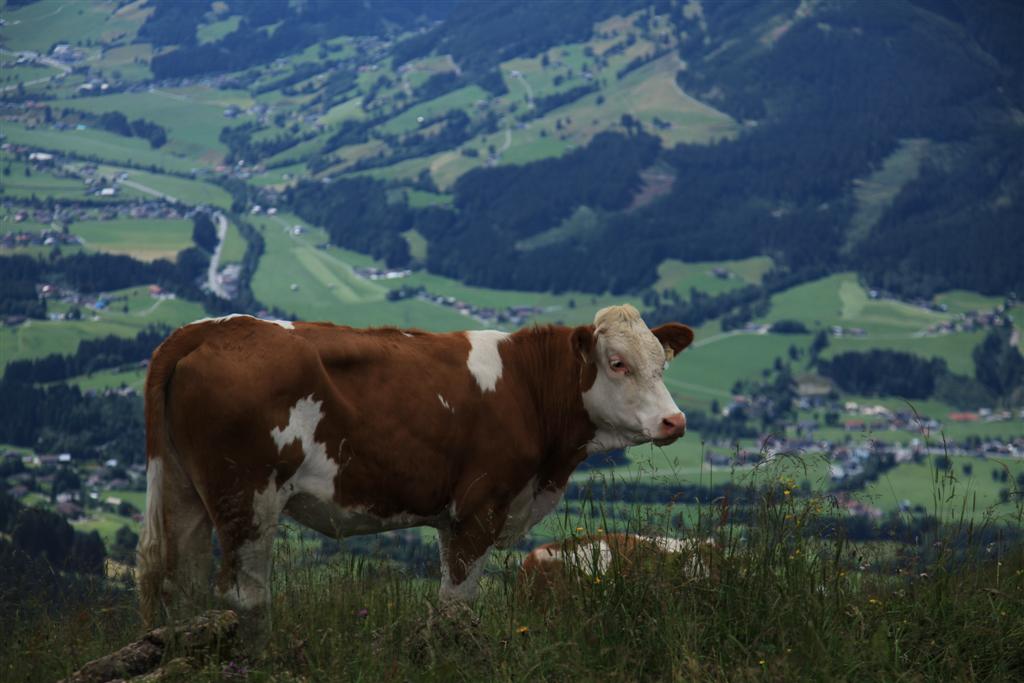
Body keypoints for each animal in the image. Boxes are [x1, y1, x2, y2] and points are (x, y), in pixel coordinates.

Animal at [137, 304, 693, 624]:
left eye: (662, 363)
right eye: (617, 363)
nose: (675, 421)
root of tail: (209, 329)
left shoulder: (452, 517)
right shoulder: (481, 506)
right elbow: (457, 603)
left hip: (185, 488)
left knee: (179, 581)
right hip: (247, 496)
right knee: (243, 594)